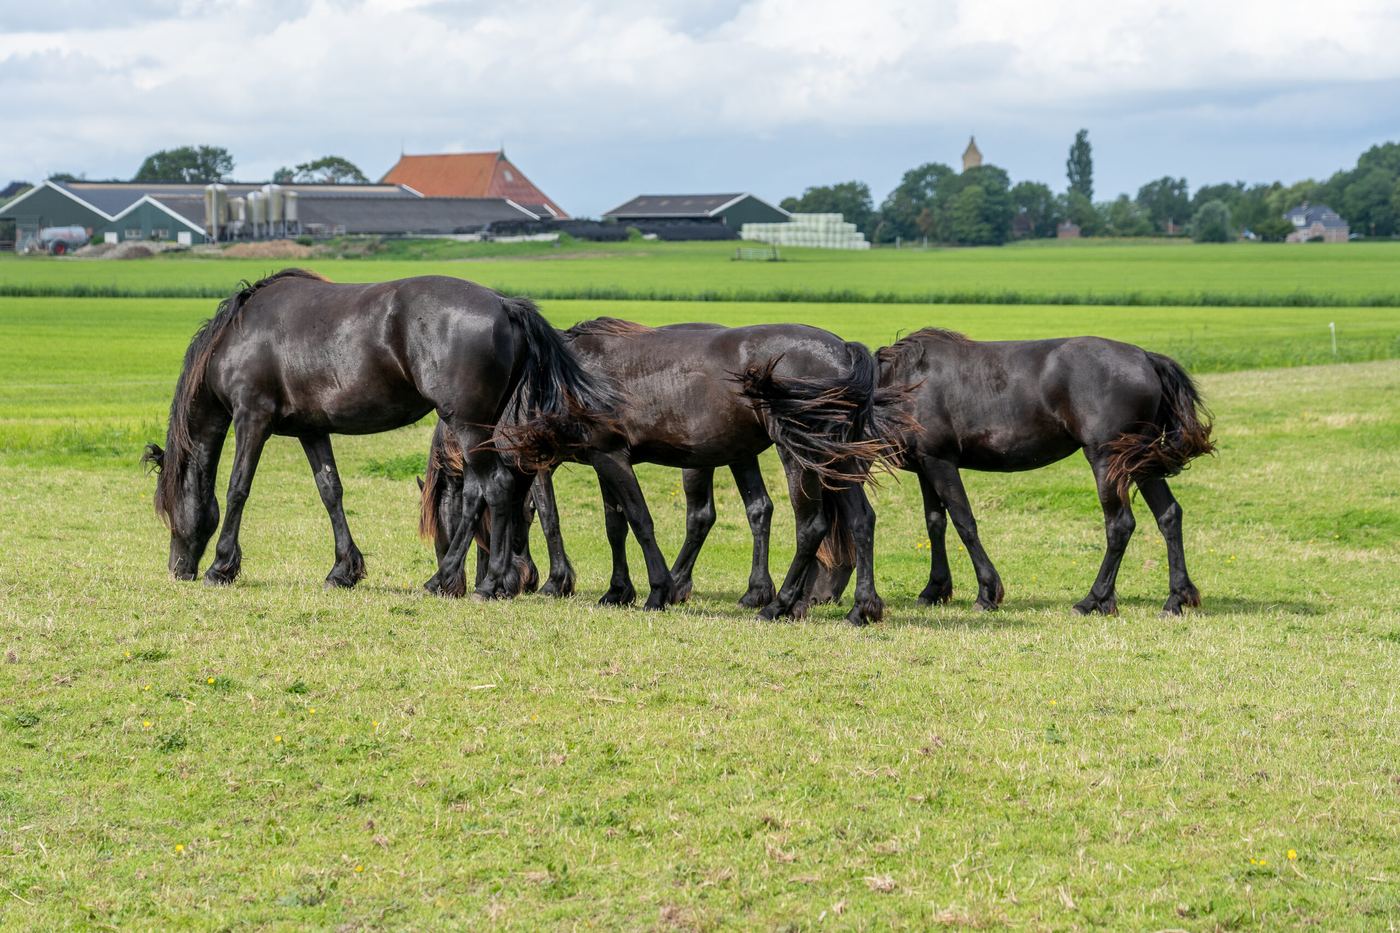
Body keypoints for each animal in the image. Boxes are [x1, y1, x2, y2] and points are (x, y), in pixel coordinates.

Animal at [141, 269, 616, 599]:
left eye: (167, 511)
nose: (177, 569)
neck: (238, 335)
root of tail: (505, 305)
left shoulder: (251, 418)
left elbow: (238, 488)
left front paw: (222, 566)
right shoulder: (312, 430)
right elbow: (330, 491)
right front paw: (343, 571)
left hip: (467, 425)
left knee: (493, 489)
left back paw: (480, 583)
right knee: (499, 492)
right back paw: (467, 580)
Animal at [423, 318, 913, 625]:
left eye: (451, 524)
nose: (452, 583)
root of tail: (844, 351)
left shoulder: (609, 456)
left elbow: (638, 521)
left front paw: (656, 591)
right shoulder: (599, 461)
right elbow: (615, 524)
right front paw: (617, 591)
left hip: (800, 455)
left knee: (811, 525)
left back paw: (779, 606)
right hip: (835, 459)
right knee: (860, 520)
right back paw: (861, 609)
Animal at [815, 329, 1215, 616]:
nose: (819, 597)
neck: (903, 386)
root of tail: (1146, 358)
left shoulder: (940, 462)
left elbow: (963, 522)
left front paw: (987, 592)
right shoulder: (925, 467)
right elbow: (935, 524)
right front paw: (934, 590)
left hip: (1107, 460)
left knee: (1120, 525)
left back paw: (1094, 600)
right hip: (1140, 462)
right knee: (1168, 516)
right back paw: (1176, 599)